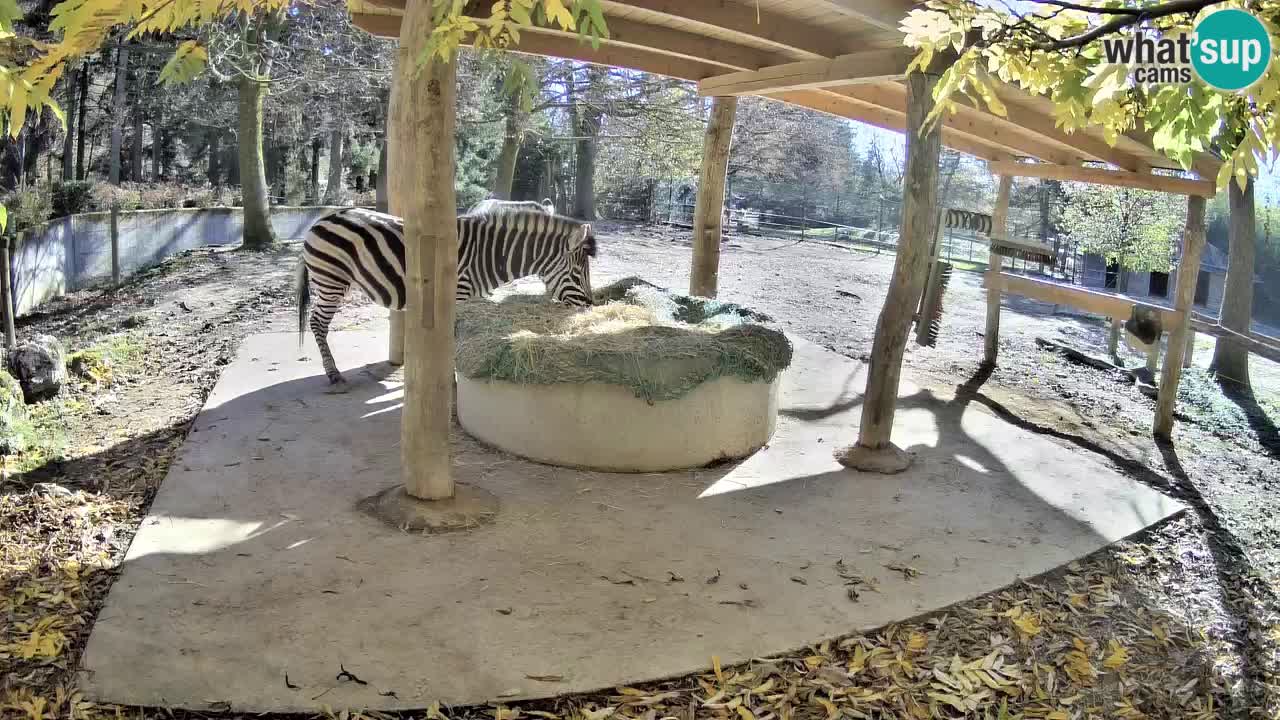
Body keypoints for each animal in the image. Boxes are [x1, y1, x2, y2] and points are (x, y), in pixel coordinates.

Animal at [297, 206, 597, 384]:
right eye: (577, 274)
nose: (590, 308)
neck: (488, 254)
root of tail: (321, 219)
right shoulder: (457, 294)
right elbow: (451, 339)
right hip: (331, 280)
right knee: (318, 323)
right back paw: (333, 374)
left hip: (335, 281)